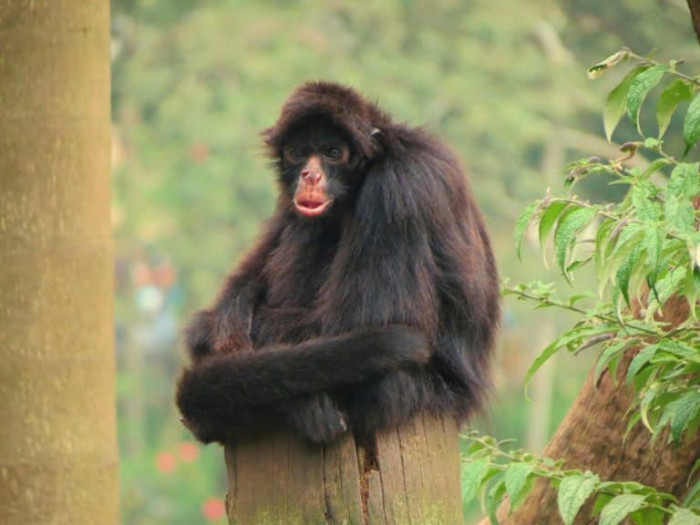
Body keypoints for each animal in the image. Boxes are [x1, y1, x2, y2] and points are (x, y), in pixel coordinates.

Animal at [176, 82, 500, 446]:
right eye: (298, 152)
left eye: (333, 153)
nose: (310, 175)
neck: (382, 156)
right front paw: (221, 321)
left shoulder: (397, 190)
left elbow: (362, 323)